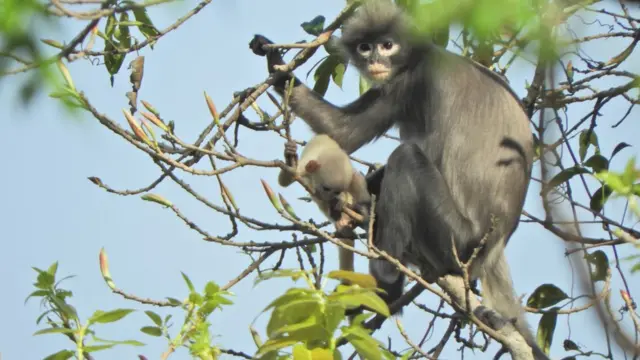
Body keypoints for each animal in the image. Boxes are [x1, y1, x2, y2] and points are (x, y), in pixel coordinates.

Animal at [246, 0, 544, 358]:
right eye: (365, 47)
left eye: (388, 45)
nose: (375, 60)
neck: (421, 56)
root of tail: (495, 246)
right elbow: (343, 133)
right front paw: (272, 58)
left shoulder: (413, 83)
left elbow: (346, 133)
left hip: (457, 238)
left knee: (405, 158)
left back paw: (386, 286)